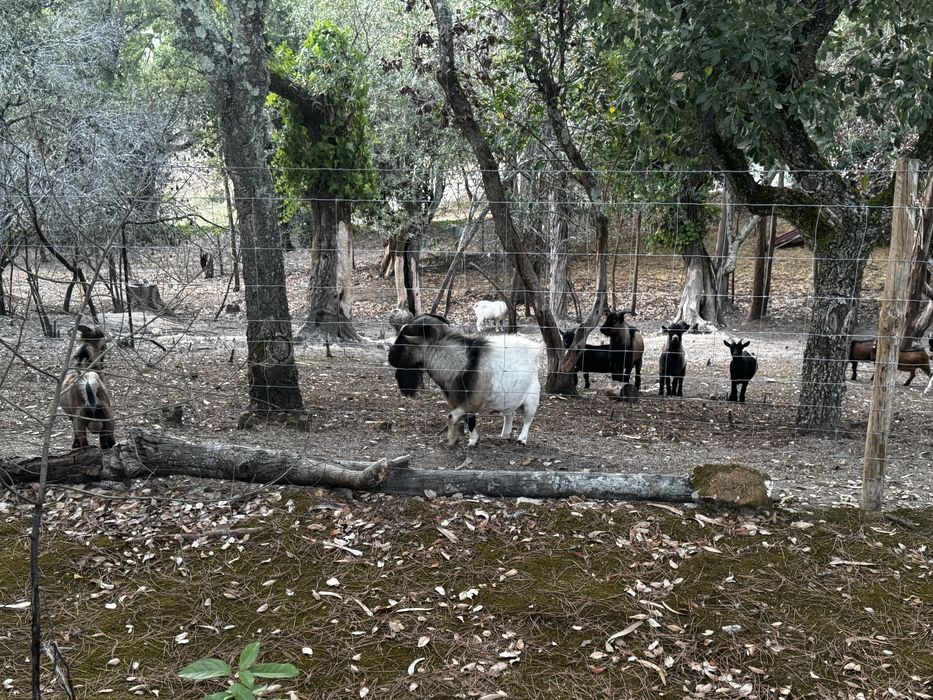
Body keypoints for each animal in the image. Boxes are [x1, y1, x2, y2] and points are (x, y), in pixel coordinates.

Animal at [388, 314, 541, 447]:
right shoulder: (463, 403)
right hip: (509, 399)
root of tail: (535, 351)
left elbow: (451, 417)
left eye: (404, 341)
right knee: (509, 414)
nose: (390, 359)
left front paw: (452, 441)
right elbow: (470, 421)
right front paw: (473, 441)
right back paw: (505, 435)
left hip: (531, 399)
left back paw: (522, 440)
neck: (463, 365)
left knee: (528, 419)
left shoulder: (471, 403)